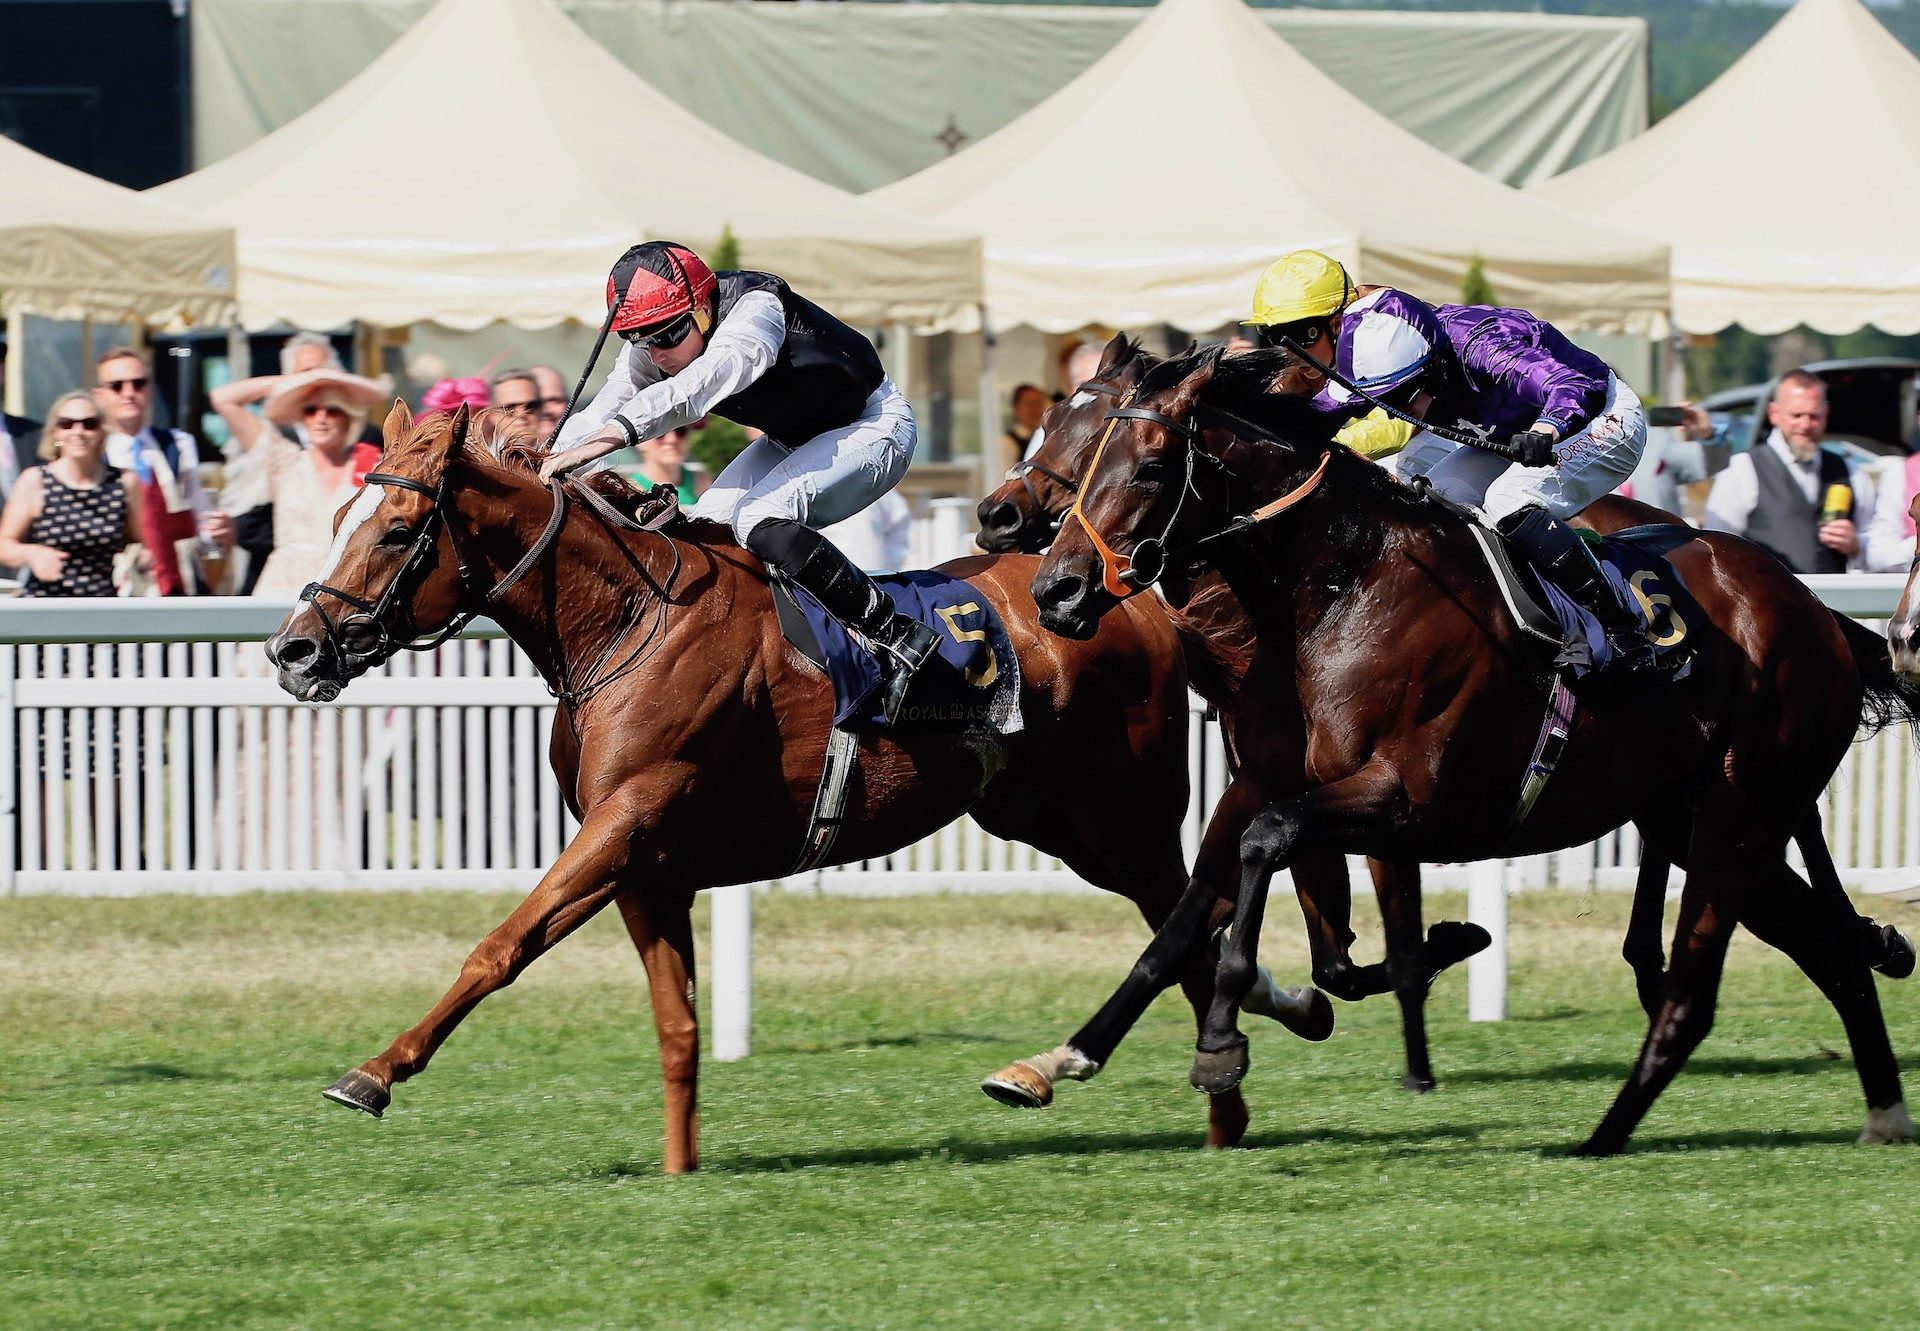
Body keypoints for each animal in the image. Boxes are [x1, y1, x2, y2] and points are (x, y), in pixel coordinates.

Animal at [263, 399, 1328, 1167]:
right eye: (342, 516)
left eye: (397, 530)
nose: (295, 648)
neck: (624, 623)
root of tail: (1126, 595)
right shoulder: (644, 863)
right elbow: (677, 1026)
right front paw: (680, 1169)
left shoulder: (622, 824)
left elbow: (499, 945)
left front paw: (372, 1072)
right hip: (1045, 817)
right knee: (1188, 924)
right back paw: (1277, 1027)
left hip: (1125, 817)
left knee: (1189, 916)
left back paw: (1216, 1097)